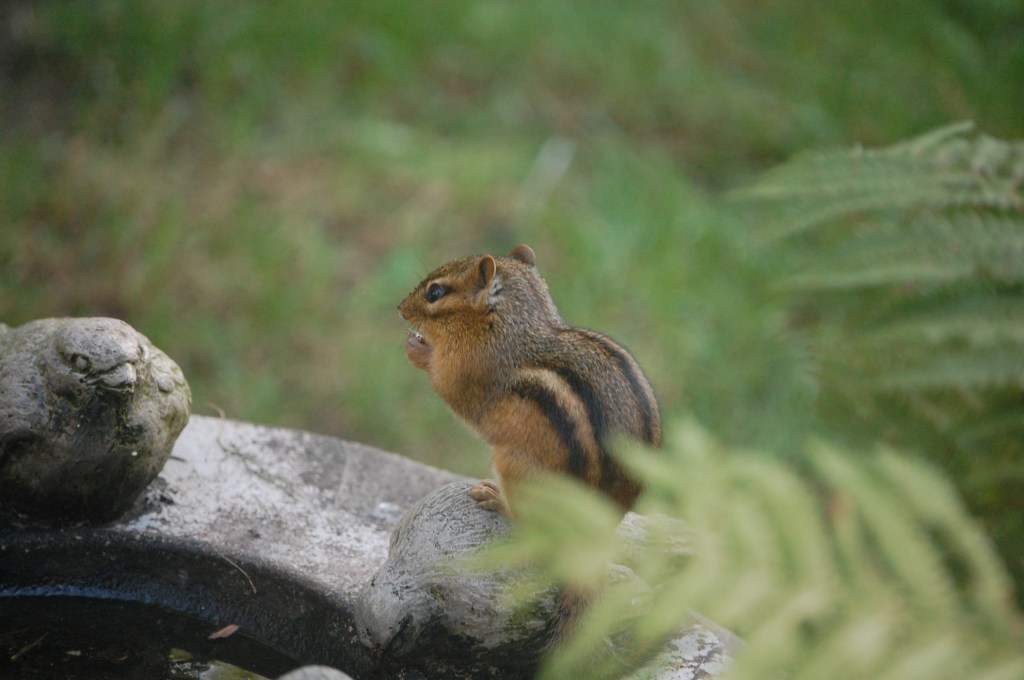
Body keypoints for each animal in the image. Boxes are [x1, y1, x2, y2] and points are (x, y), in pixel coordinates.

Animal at [398, 244, 661, 517]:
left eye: (434, 292)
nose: (400, 308)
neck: (509, 327)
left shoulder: (470, 371)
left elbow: (449, 388)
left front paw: (419, 350)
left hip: (513, 466)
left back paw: (495, 498)